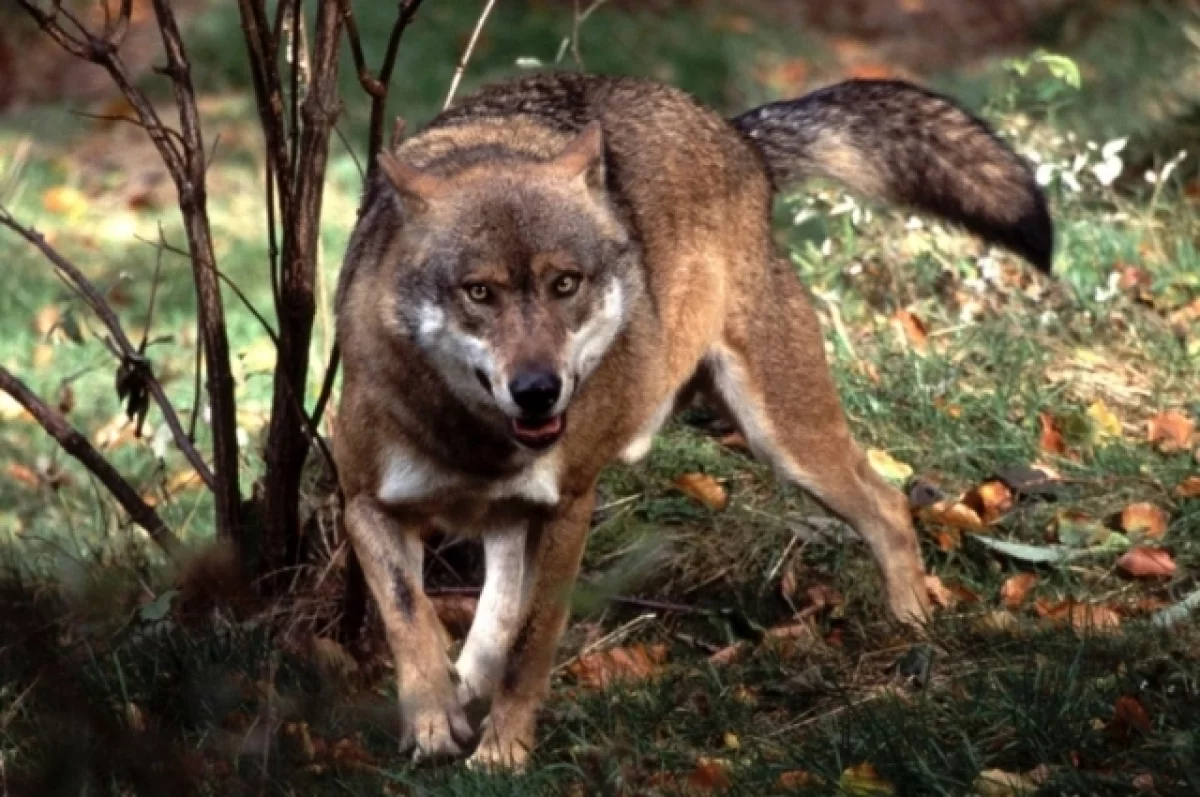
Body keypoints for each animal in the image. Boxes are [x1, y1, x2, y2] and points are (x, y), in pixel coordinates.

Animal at [336, 71, 1051, 768]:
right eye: (479, 293)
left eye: (565, 284)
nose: (538, 391)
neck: (474, 443)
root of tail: (738, 136)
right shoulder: (364, 504)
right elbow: (411, 620)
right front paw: (434, 723)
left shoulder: (570, 507)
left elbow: (530, 647)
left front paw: (503, 753)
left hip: (785, 440)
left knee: (890, 505)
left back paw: (912, 626)